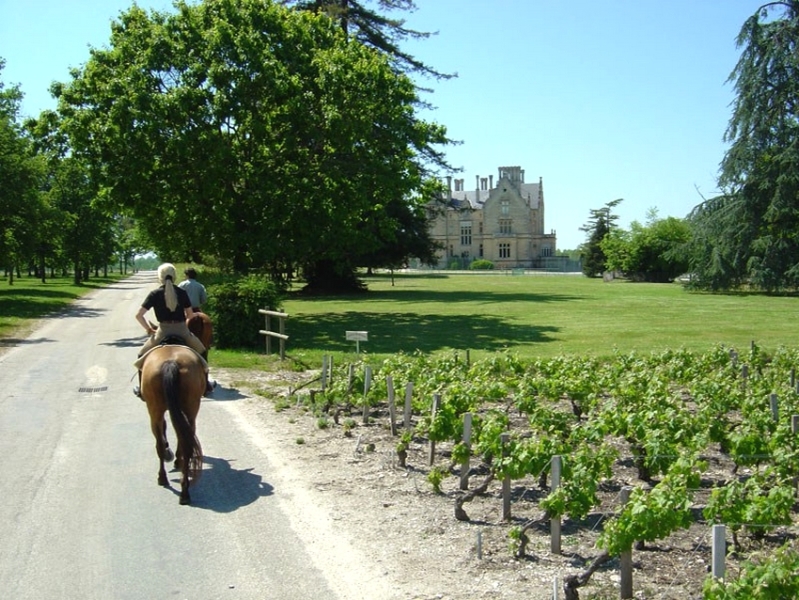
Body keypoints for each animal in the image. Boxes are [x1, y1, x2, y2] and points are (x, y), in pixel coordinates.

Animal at [142, 342, 208, 506]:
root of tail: (171, 362)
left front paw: (171, 456)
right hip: (188, 410)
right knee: (185, 443)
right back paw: (184, 492)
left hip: (156, 411)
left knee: (161, 443)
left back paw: (163, 478)